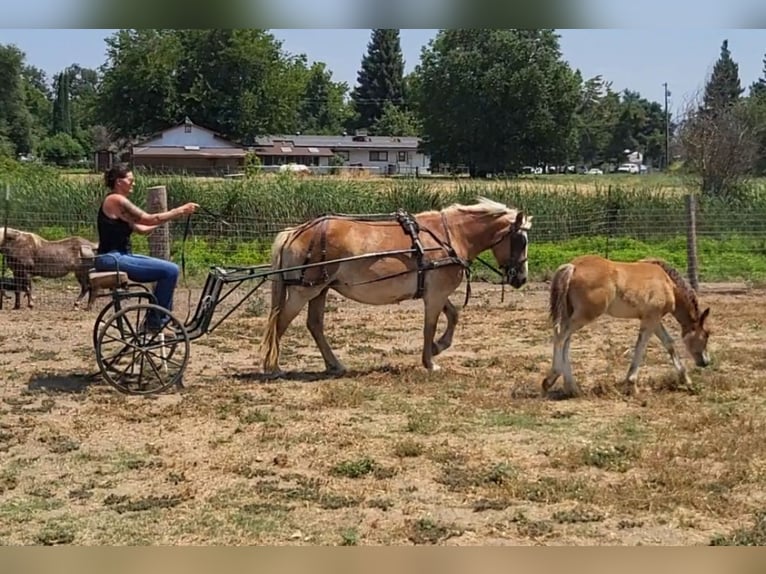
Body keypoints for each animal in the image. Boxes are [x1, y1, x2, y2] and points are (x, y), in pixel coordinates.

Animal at [260, 198, 536, 378]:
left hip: (320, 290)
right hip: (304, 291)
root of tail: (294, 232)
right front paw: (430, 362)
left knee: (314, 325)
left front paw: (438, 347)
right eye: (520, 240)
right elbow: (429, 327)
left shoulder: (435, 292)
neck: (450, 237)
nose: (521, 278)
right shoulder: (435, 295)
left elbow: (453, 316)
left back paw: (334, 364)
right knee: (280, 322)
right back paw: (273, 367)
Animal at [540, 254, 712, 398]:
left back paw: (571, 388)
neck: (668, 283)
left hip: (573, 314)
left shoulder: (653, 319)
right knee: (560, 336)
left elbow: (669, 343)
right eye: (706, 334)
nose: (705, 362)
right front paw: (631, 384)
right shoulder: (650, 319)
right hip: (585, 315)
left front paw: (686, 380)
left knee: (565, 342)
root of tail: (573, 266)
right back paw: (552, 380)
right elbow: (641, 346)